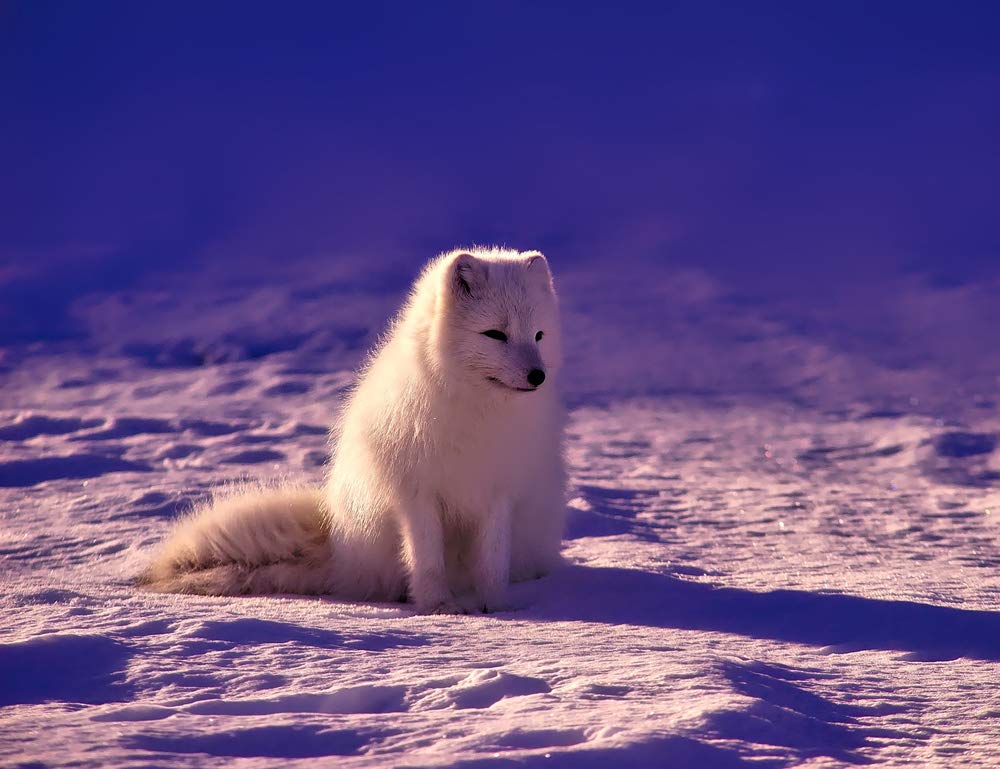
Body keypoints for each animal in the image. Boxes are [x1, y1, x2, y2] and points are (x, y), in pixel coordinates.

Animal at [139, 247, 567, 614]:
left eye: (538, 335)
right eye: (495, 334)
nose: (538, 376)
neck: (477, 412)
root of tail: (338, 546)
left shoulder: (499, 492)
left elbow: (492, 562)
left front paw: (496, 607)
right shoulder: (416, 493)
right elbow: (427, 559)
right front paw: (439, 607)